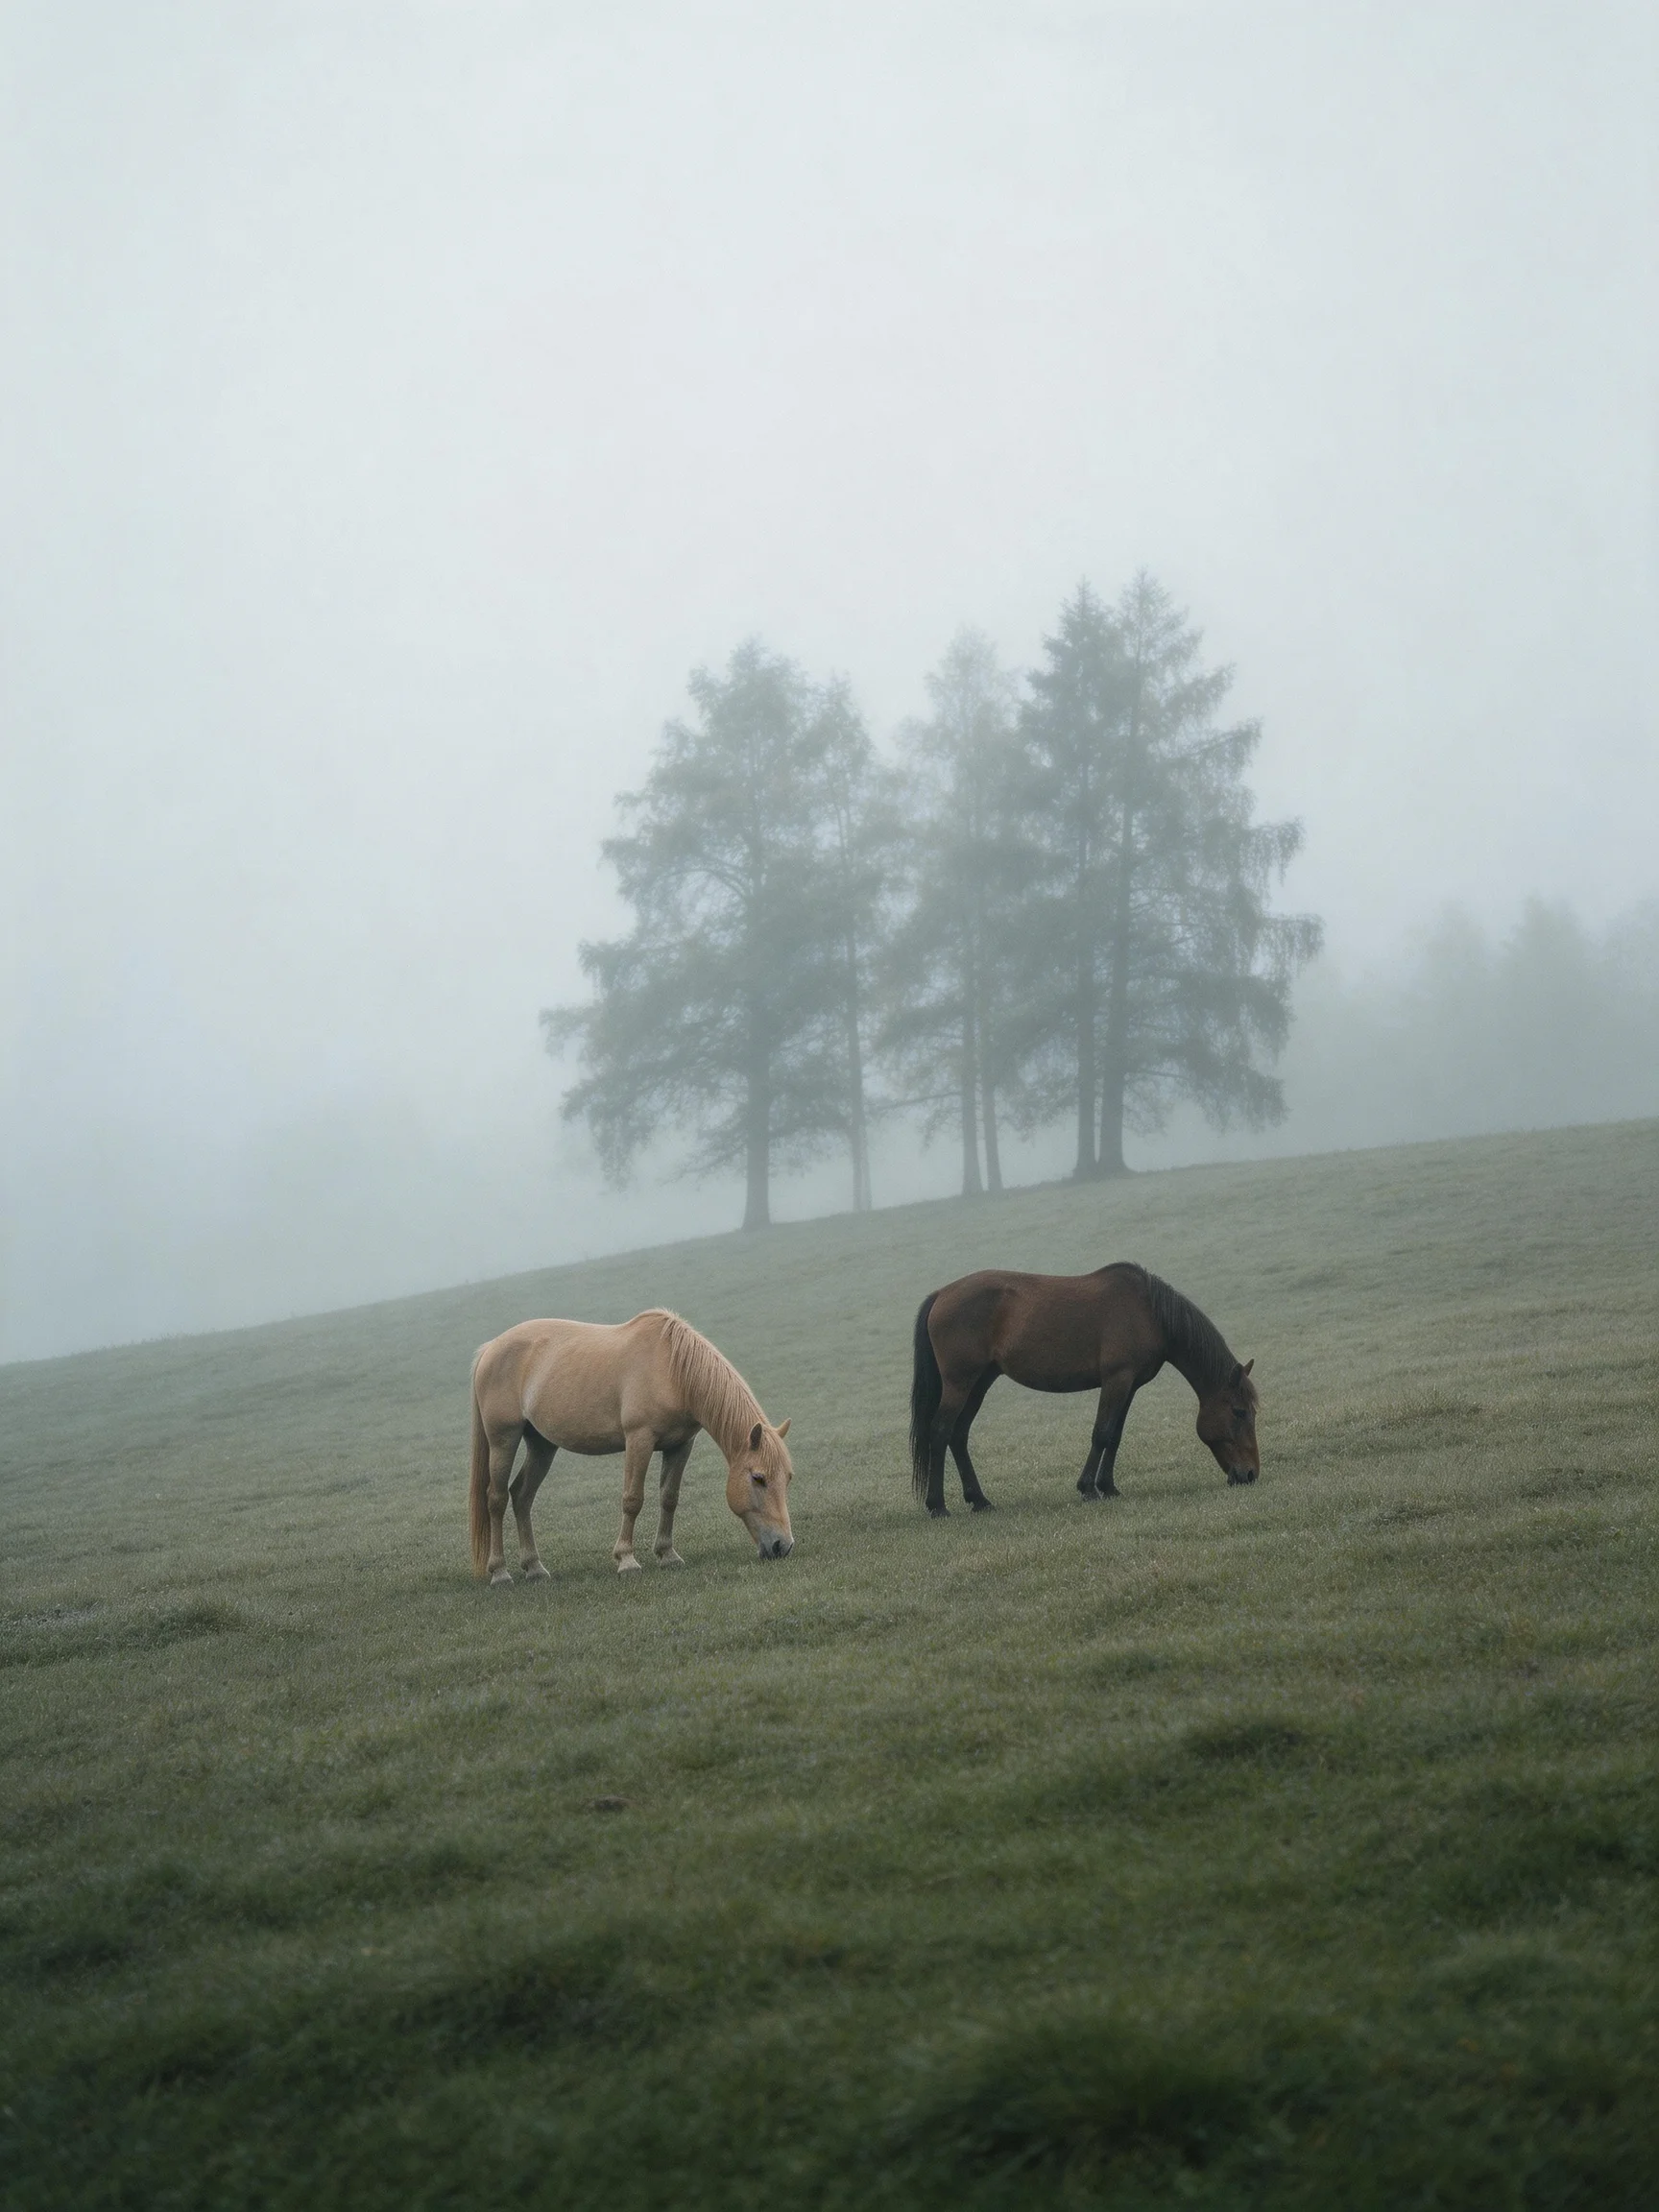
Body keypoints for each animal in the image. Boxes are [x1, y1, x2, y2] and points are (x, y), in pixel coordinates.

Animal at [469, 1308, 794, 1584]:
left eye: (788, 1478)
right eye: (758, 1478)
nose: (783, 1546)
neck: (673, 1371)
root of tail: (491, 1348)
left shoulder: (681, 1445)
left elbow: (669, 1498)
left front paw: (667, 1555)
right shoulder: (639, 1439)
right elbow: (632, 1499)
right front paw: (627, 1560)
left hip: (542, 1444)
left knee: (522, 1496)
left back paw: (535, 1568)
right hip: (503, 1439)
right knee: (496, 1498)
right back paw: (500, 1572)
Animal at [909, 1263, 1258, 1516]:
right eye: (1239, 1412)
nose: (1251, 1474)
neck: (1148, 1312)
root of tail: (941, 1294)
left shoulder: (1130, 1385)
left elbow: (1115, 1436)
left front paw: (1109, 1486)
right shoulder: (1116, 1379)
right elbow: (1101, 1433)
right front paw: (1088, 1488)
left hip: (980, 1382)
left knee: (958, 1435)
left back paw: (979, 1500)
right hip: (959, 1383)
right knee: (940, 1432)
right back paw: (938, 1506)